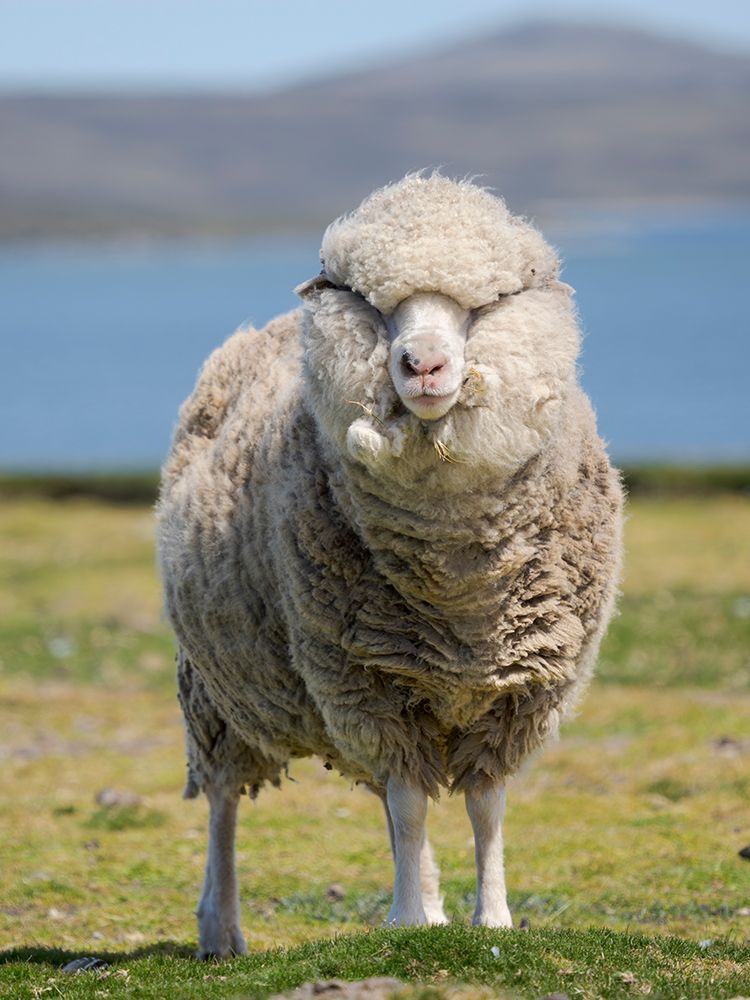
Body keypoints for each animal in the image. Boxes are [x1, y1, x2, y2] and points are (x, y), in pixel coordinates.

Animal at [157, 173, 623, 958]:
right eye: (373, 306)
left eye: (486, 304)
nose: (423, 366)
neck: (458, 589)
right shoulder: (369, 681)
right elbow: (408, 805)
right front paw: (407, 919)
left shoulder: (514, 690)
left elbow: (484, 807)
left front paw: (488, 916)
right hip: (219, 690)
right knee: (222, 800)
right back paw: (221, 928)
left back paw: (431, 902)